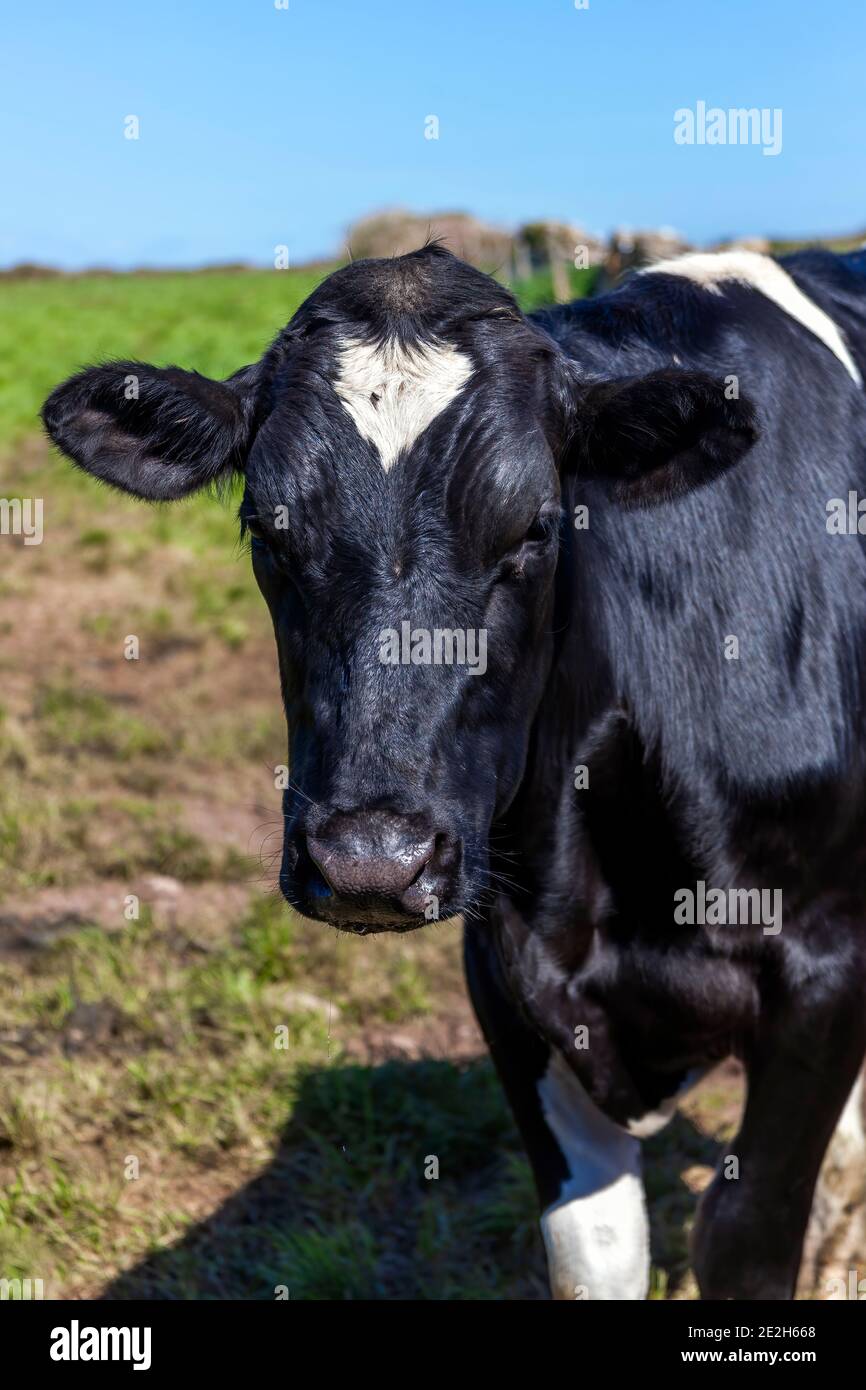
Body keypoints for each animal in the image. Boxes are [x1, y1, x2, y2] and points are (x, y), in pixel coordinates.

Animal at [42, 242, 866, 1300]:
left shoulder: (823, 966)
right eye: (268, 529)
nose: (369, 861)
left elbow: (745, 1234)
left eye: (536, 527)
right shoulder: (507, 972)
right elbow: (594, 1248)